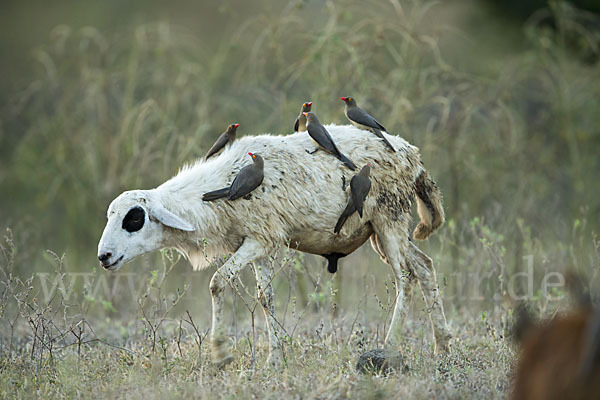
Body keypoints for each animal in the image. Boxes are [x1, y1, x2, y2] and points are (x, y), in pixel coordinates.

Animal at [97, 124, 450, 366]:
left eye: (134, 218)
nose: (104, 256)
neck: (217, 190)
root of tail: (413, 156)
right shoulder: (257, 245)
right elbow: (265, 298)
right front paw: (275, 359)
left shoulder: (260, 239)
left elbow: (217, 282)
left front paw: (220, 354)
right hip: (381, 230)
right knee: (425, 266)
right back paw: (442, 345)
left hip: (389, 219)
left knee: (405, 278)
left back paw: (389, 348)